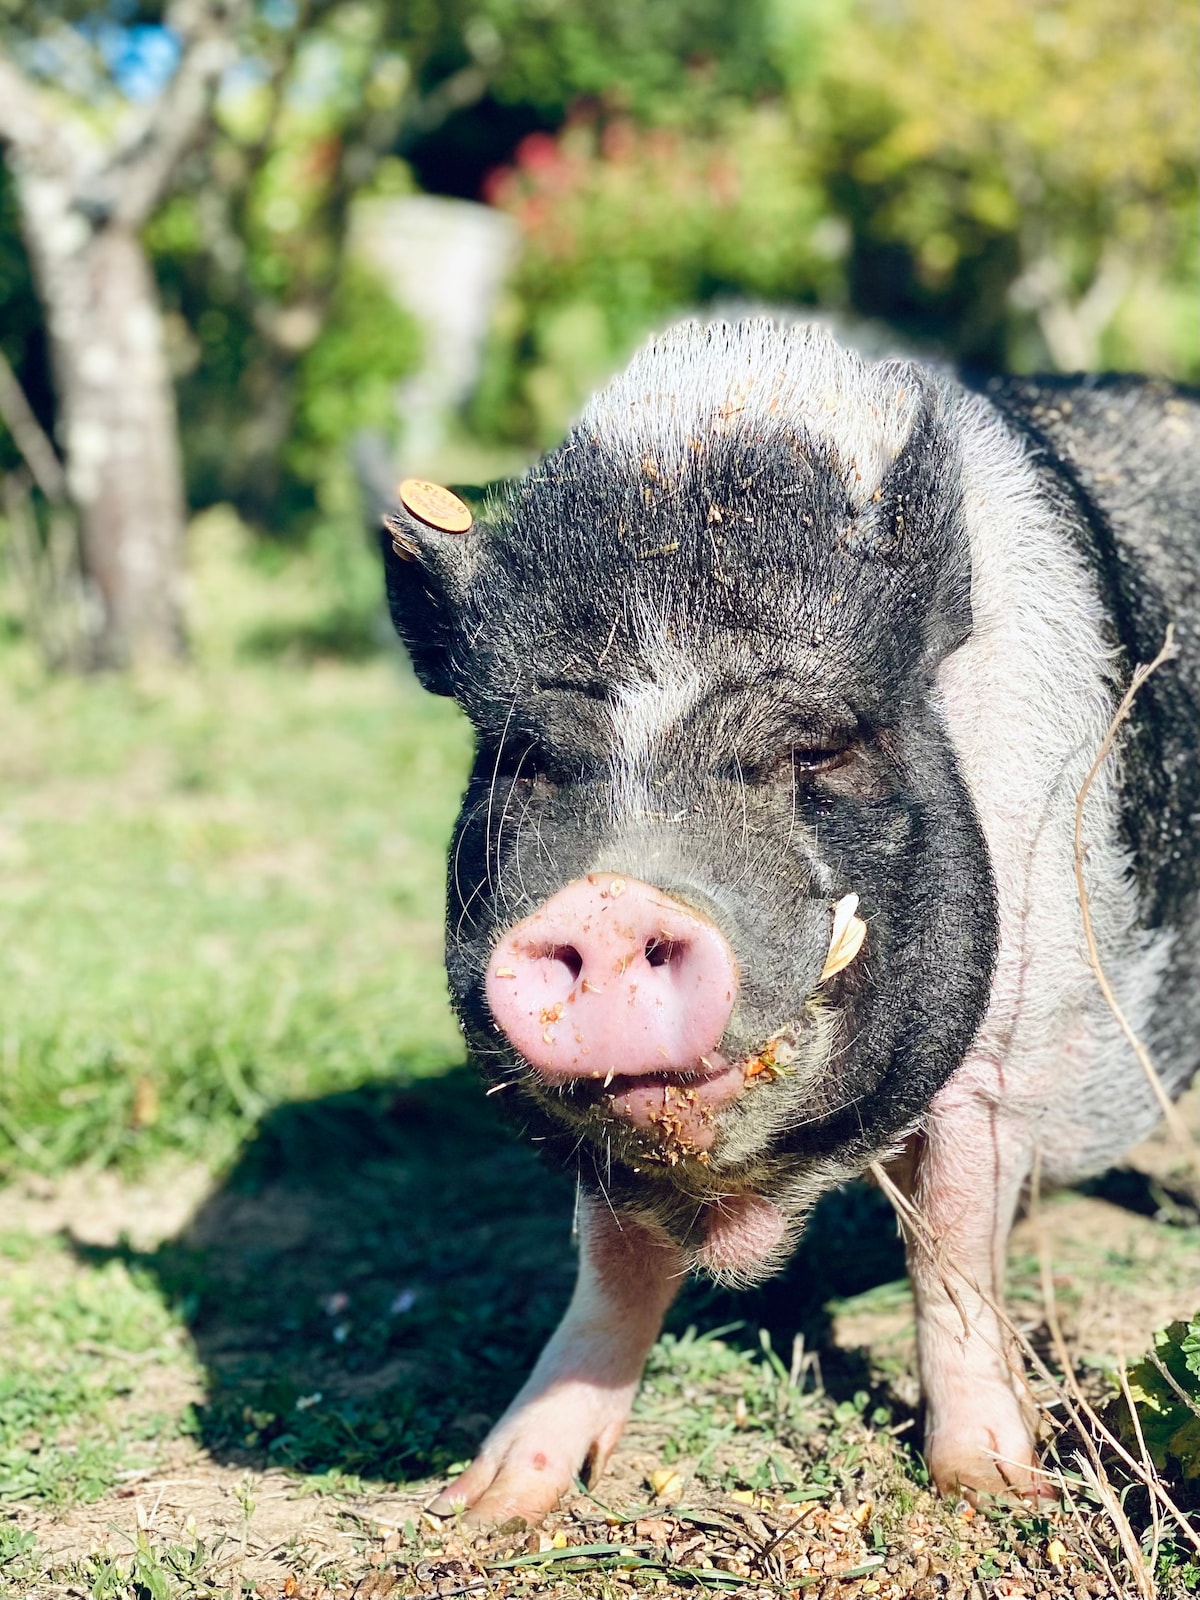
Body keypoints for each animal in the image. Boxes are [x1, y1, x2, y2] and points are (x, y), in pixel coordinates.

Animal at [380, 315, 1196, 1523]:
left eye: (815, 749)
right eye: (528, 757)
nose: (613, 899)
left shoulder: (1010, 1038)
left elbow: (953, 1246)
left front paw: (994, 1490)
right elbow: (611, 1261)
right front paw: (486, 1505)